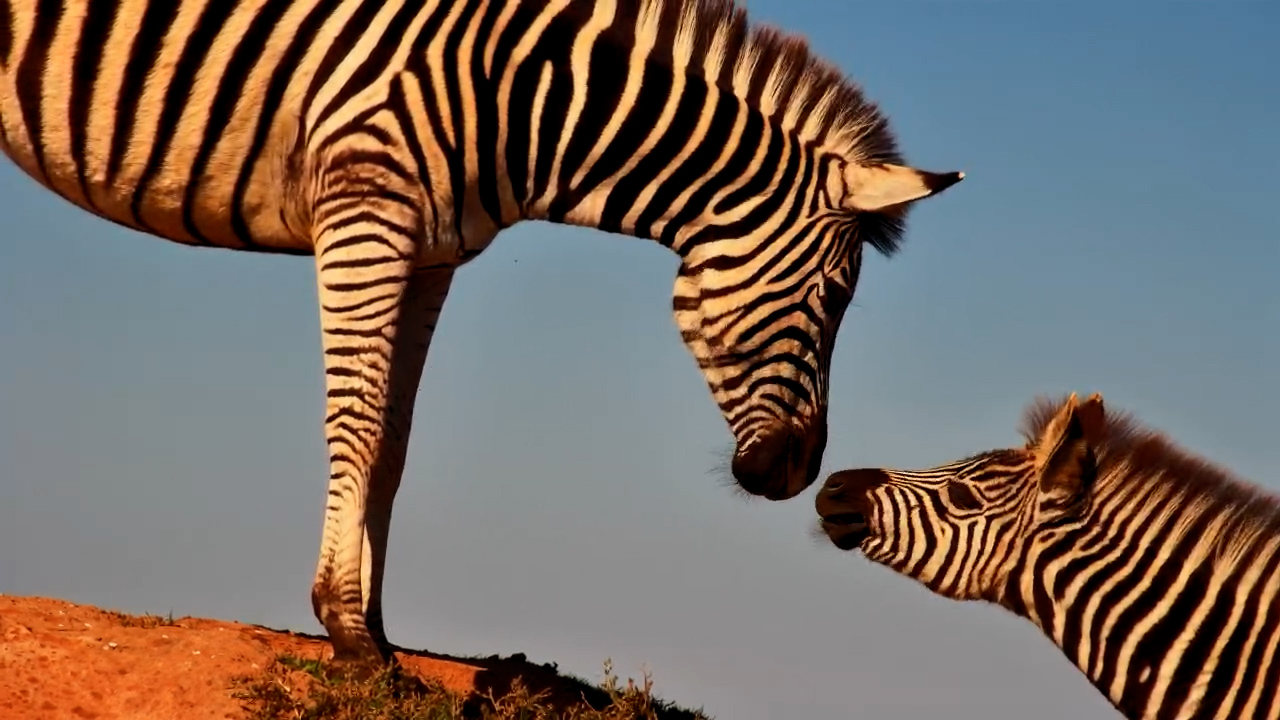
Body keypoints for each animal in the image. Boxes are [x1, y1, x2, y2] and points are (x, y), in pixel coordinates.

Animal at [1, 0, 964, 664]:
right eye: (835, 296)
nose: (799, 474)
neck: (520, 96)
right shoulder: (365, 207)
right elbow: (355, 424)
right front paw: (348, 632)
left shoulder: (429, 252)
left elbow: (392, 442)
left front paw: (378, 626)